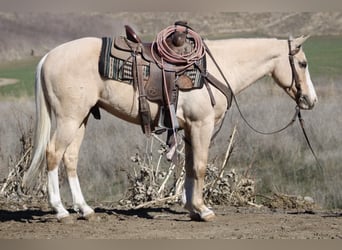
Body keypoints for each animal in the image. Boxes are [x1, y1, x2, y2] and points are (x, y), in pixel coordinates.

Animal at [22, 34, 318, 221]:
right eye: (303, 64)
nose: (311, 100)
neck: (216, 69)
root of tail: (48, 56)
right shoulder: (201, 125)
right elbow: (199, 166)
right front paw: (203, 210)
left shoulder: (188, 129)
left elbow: (188, 166)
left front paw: (191, 208)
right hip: (69, 119)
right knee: (52, 154)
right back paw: (60, 210)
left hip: (80, 119)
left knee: (70, 158)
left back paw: (84, 209)